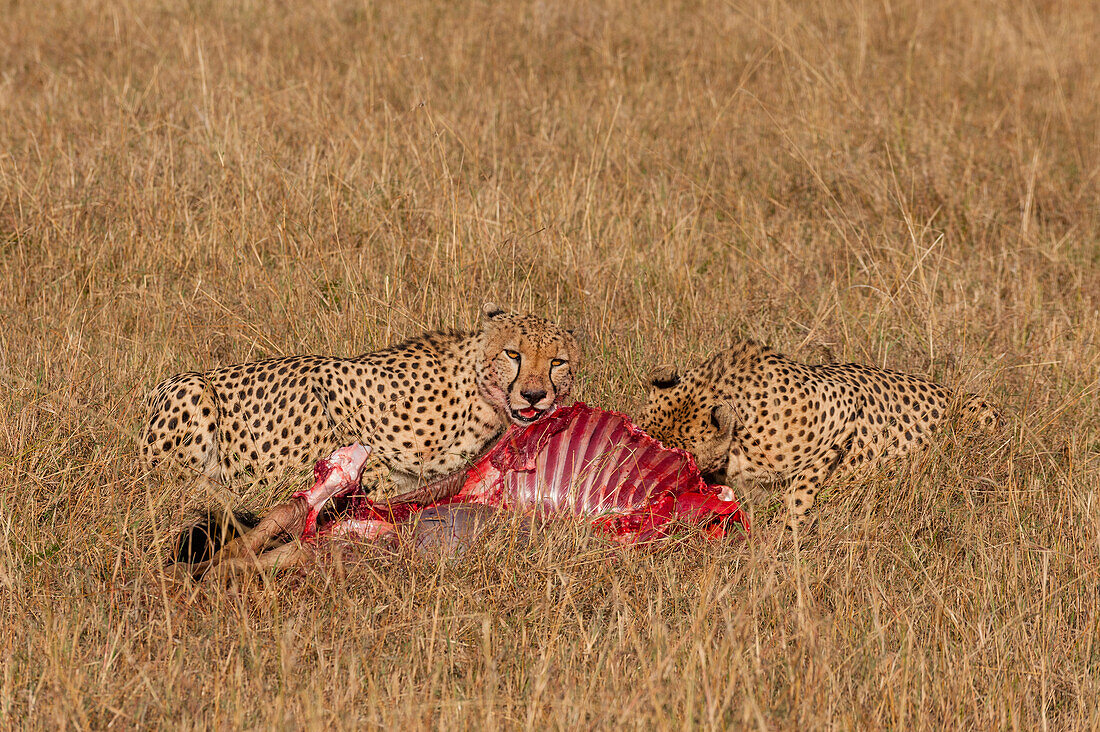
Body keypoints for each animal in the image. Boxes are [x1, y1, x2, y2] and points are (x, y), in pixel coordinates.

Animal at [141, 301, 580, 497]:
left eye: (557, 362)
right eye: (513, 354)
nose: (534, 395)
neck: (479, 398)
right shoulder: (329, 376)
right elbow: (369, 459)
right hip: (191, 388)